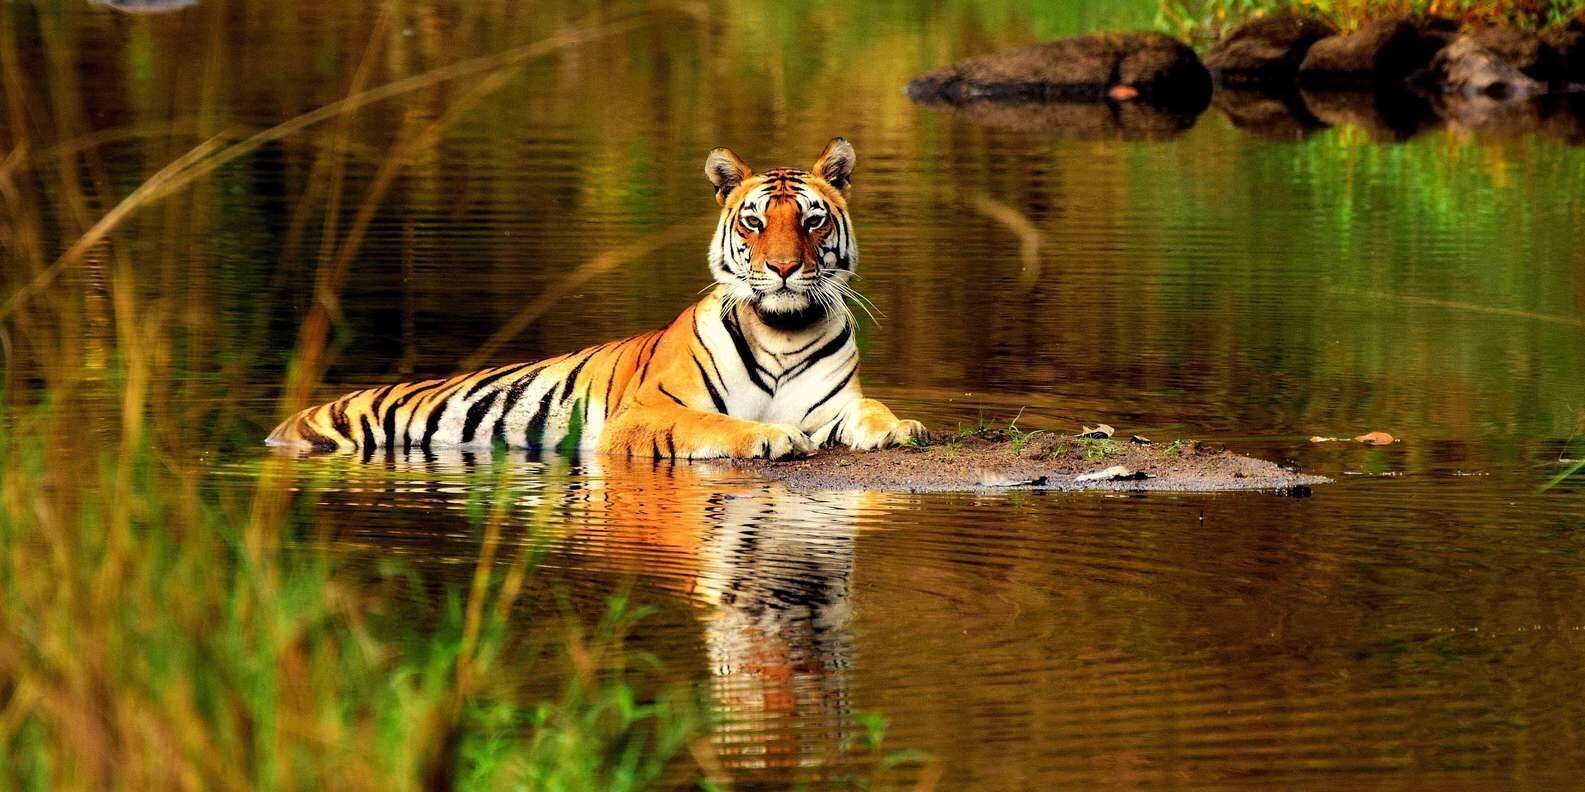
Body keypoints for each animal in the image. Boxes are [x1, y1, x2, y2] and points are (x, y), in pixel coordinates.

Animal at [267, 137, 927, 459]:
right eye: (754, 223)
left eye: (813, 221)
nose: (785, 268)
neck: (783, 330)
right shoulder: (645, 415)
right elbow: (713, 424)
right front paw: (771, 437)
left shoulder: (834, 403)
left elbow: (871, 410)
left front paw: (902, 427)